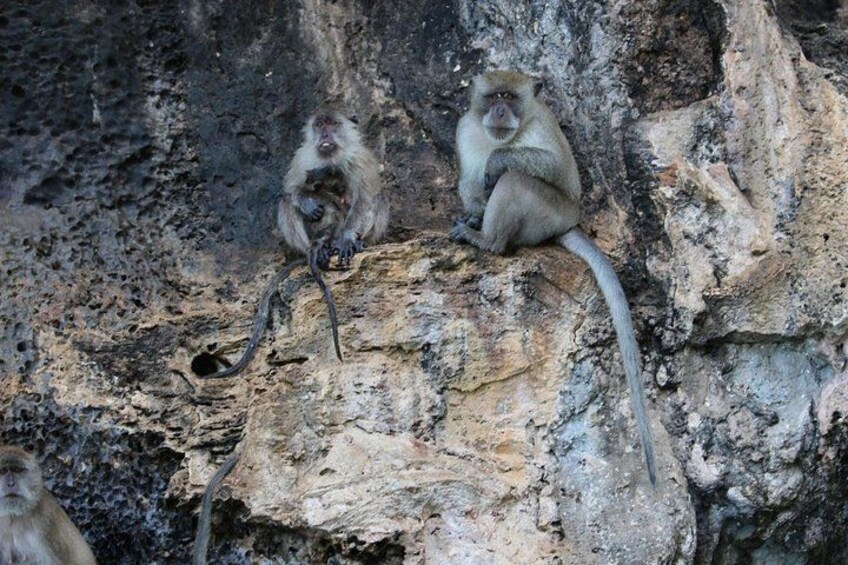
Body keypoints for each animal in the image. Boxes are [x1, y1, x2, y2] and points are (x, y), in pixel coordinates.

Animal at [450, 71, 657, 486]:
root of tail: (568, 223)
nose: (500, 111)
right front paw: (473, 211)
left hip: (548, 214)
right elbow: (470, 183)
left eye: (510, 98)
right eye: (494, 96)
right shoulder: (465, 129)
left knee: (517, 180)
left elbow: (554, 167)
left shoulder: (542, 125)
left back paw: (490, 241)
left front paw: (498, 161)